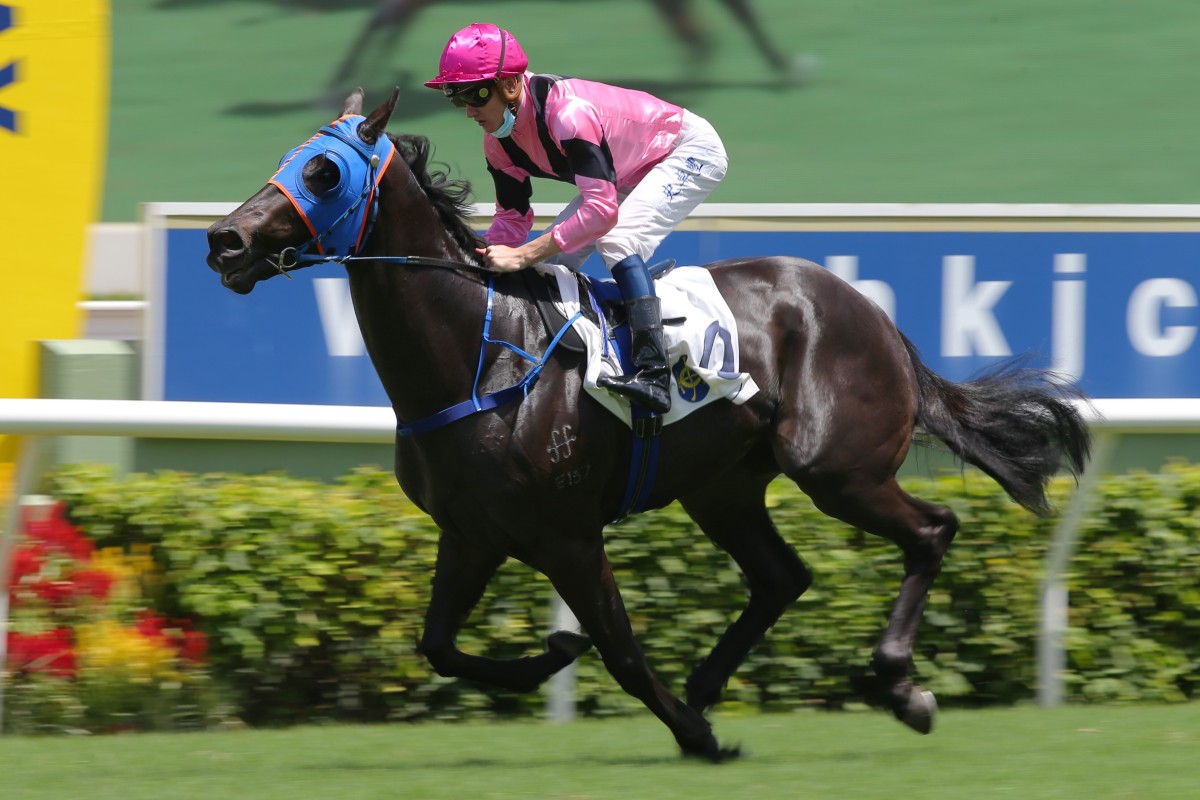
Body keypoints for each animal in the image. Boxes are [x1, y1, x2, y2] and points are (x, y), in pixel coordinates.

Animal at [208, 90, 1099, 762]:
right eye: (288, 159)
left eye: (323, 172)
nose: (225, 239)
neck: (480, 355)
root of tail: (868, 310)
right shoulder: (472, 531)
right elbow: (438, 644)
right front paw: (552, 658)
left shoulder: (567, 533)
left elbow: (622, 650)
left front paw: (695, 736)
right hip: (723, 487)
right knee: (783, 576)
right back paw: (712, 684)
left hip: (835, 467)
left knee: (931, 531)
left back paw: (900, 685)